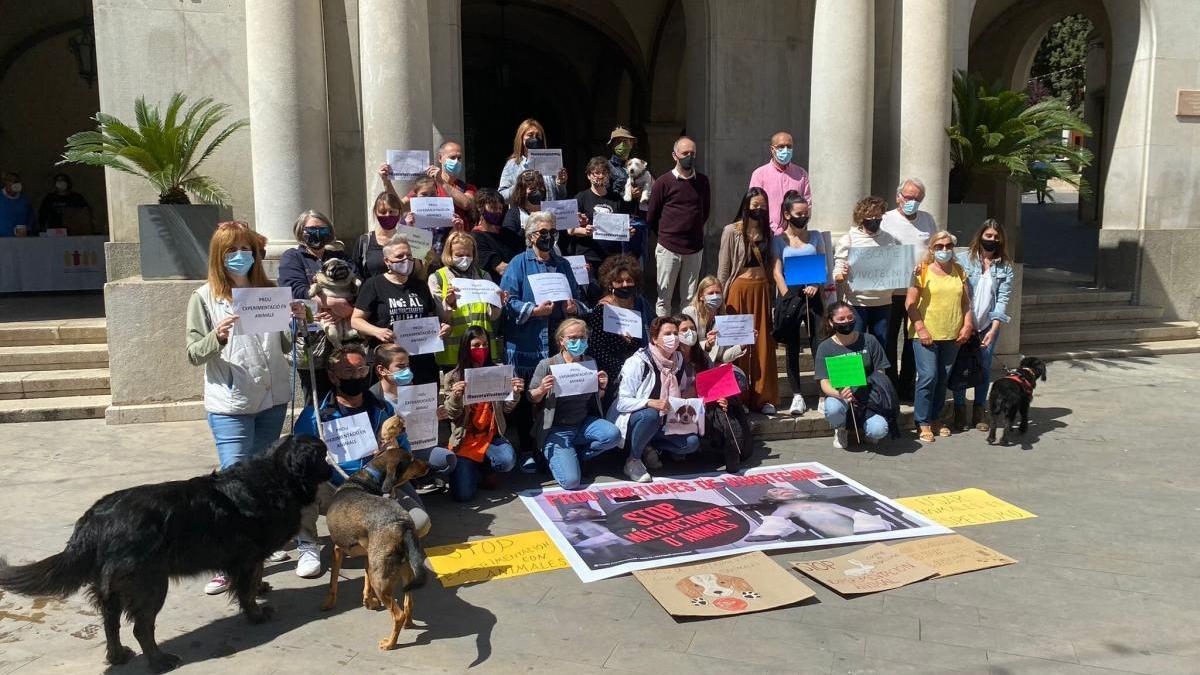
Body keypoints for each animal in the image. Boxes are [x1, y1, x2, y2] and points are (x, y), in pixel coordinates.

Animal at [0, 432, 331, 667]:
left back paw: (118, 656)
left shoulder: (249, 556)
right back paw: (160, 661)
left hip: (111, 588)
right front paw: (257, 613)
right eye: (323, 455)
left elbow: (254, 579)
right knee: (141, 627)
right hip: (150, 583)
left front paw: (262, 589)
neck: (277, 476)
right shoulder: (247, 556)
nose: (331, 469)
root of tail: (96, 518)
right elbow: (246, 589)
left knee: (110, 622)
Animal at [319, 415, 432, 648]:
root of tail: (402, 522)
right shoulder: (367, 557)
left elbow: (333, 581)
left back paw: (390, 644)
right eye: (411, 459)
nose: (428, 465)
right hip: (400, 568)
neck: (364, 480)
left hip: (382, 575)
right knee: (408, 603)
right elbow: (365, 580)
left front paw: (329, 603)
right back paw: (408, 624)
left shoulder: (337, 549)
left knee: (397, 614)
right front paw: (368, 601)